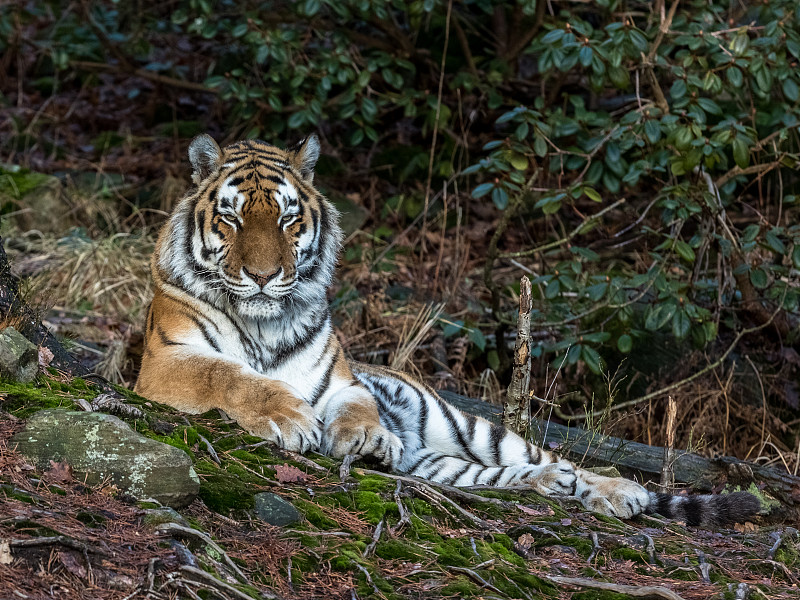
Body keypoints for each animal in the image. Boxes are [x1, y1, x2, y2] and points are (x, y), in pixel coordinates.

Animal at [134, 134, 760, 528]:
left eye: (288, 219)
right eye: (232, 217)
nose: (264, 277)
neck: (263, 321)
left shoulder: (342, 382)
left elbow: (356, 406)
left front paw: (368, 438)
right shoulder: (166, 361)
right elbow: (228, 375)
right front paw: (290, 417)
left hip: (469, 426)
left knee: (562, 459)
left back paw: (618, 491)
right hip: (450, 465)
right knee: (524, 473)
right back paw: (545, 487)